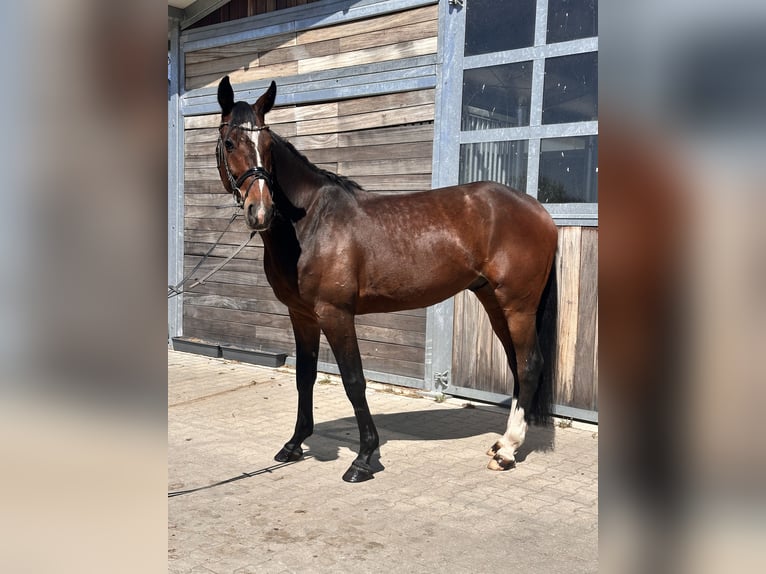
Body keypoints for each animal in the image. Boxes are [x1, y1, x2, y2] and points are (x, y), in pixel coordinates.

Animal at [214, 76, 558, 482]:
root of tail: (538, 209)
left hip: (518, 305)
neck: (312, 220)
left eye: (267, 146)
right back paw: (501, 444)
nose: (261, 211)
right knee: (516, 364)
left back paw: (507, 451)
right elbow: (305, 376)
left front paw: (363, 458)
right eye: (230, 143)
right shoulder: (301, 316)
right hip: (494, 301)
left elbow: (354, 380)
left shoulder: (335, 314)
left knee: (529, 365)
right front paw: (294, 445)